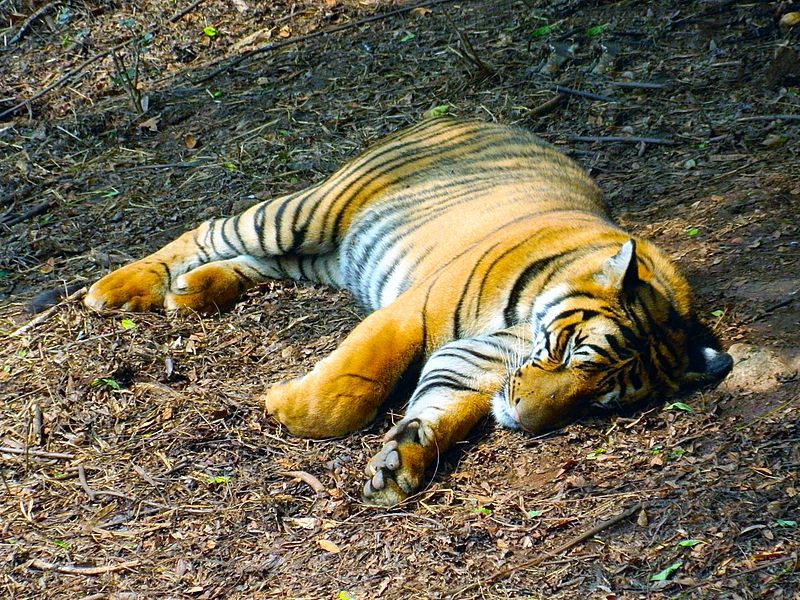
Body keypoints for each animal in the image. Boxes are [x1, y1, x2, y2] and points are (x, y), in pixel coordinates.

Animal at [83, 116, 732, 506]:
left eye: (600, 401)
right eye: (573, 353)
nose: (524, 423)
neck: (527, 330)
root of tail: (466, 114)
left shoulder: (474, 360)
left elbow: (444, 406)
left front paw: (400, 462)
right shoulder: (413, 312)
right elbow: (354, 384)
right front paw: (285, 407)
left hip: (320, 258)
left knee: (250, 261)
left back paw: (193, 291)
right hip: (308, 213)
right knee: (211, 228)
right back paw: (116, 289)